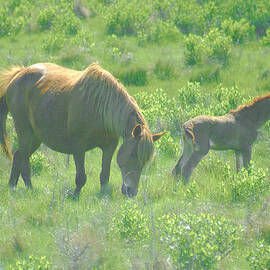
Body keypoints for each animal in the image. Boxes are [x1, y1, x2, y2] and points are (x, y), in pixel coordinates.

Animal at [0, 63, 166, 198]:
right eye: (133, 154)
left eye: (146, 160)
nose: (131, 192)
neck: (101, 108)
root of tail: (18, 74)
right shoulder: (78, 148)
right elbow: (81, 177)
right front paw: (74, 195)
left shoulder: (109, 147)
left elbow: (104, 175)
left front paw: (103, 196)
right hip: (25, 132)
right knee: (24, 161)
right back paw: (30, 188)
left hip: (36, 137)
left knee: (18, 156)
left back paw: (12, 186)